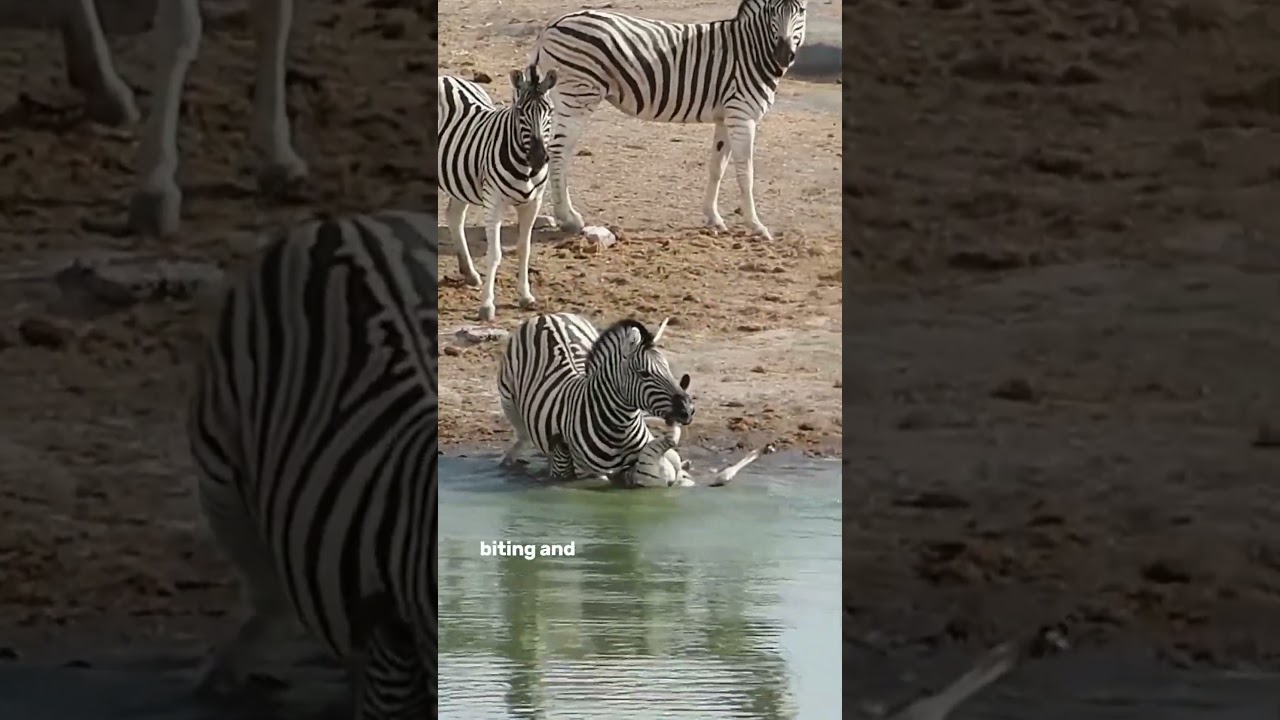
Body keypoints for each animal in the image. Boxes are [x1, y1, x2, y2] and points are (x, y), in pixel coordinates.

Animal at [438, 66, 557, 321]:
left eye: (550, 111)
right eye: (520, 112)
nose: (538, 158)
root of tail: (444, 77)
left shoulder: (533, 203)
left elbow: (524, 249)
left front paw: (525, 296)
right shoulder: (493, 201)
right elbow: (494, 254)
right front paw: (487, 305)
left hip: (458, 178)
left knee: (454, 215)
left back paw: (470, 273)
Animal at [497, 313, 695, 480]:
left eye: (668, 368)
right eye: (644, 373)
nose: (688, 410)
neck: (620, 427)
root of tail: (547, 316)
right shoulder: (587, 474)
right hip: (508, 399)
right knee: (523, 435)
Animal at [530, 0, 808, 241]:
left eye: (801, 10)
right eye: (772, 11)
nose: (784, 55)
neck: (750, 50)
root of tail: (552, 24)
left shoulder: (725, 117)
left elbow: (716, 168)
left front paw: (713, 218)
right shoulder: (742, 115)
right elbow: (746, 173)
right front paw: (757, 226)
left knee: (558, 152)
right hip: (578, 97)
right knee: (558, 153)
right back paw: (568, 218)